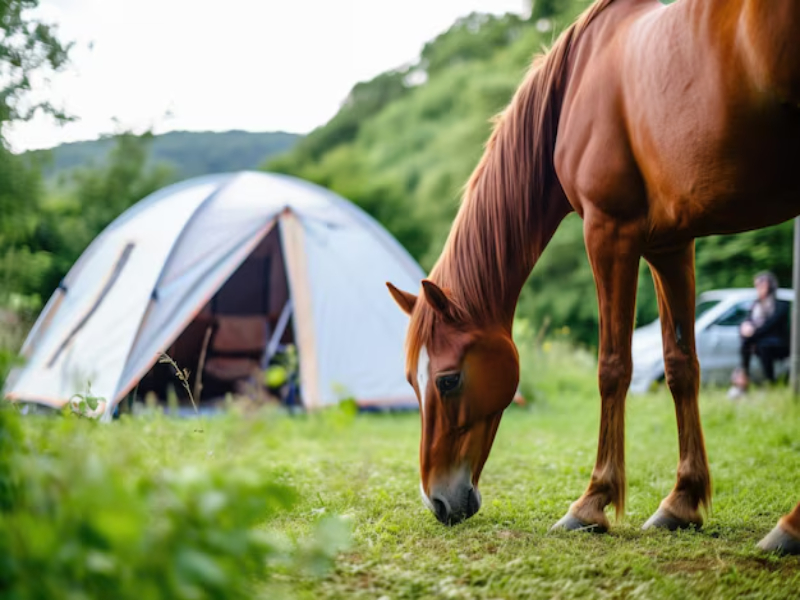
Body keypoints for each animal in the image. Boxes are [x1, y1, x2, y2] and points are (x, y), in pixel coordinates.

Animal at [384, 0, 796, 552]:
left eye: (447, 381)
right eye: (413, 380)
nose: (437, 502)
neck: (573, 90)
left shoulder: (609, 231)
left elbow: (612, 368)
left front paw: (591, 503)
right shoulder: (670, 244)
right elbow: (680, 365)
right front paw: (681, 502)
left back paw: (790, 527)